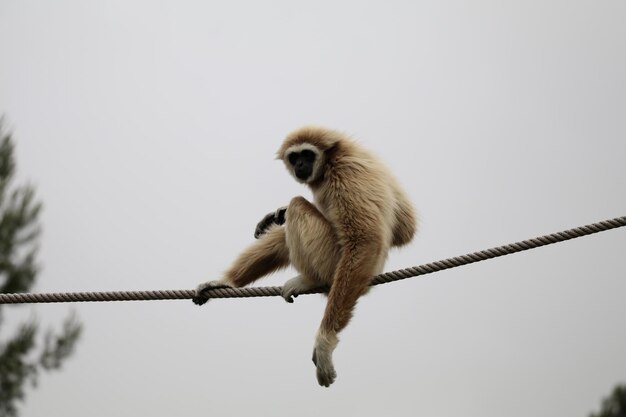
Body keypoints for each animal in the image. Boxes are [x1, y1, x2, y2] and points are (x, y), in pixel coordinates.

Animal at [194, 125, 414, 386]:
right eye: (294, 157)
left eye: (307, 155)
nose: (300, 164)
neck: (332, 159)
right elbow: (405, 229)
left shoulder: (344, 174)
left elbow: (365, 241)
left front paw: (325, 341)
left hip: (333, 260)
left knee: (298, 207)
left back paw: (311, 280)